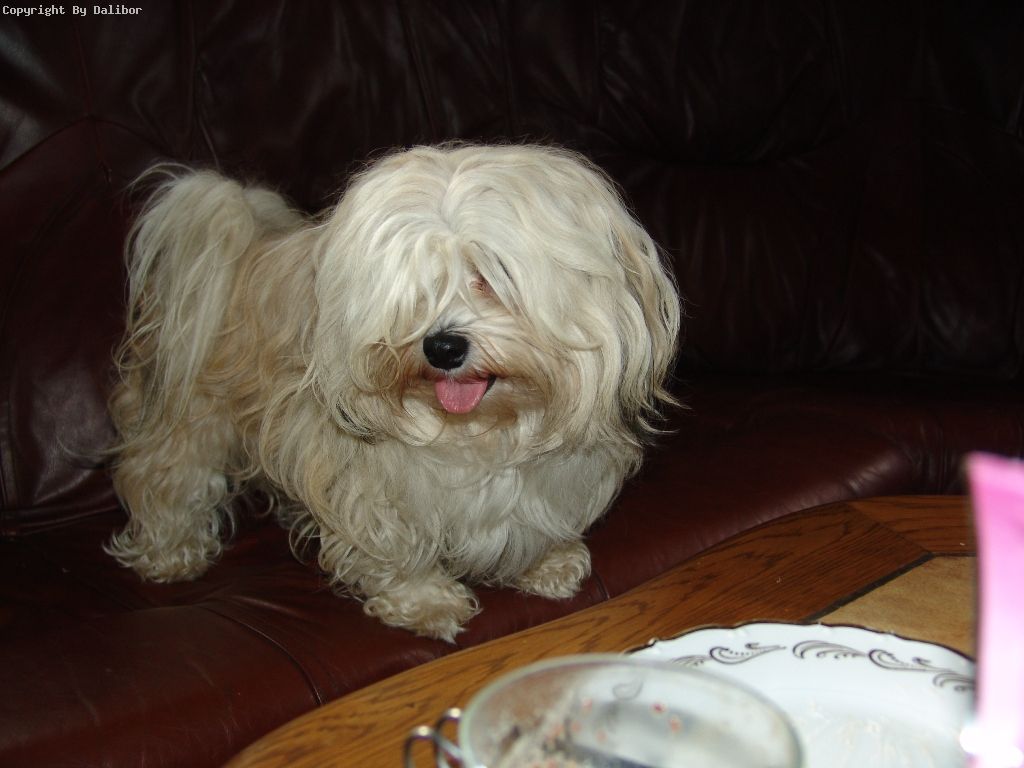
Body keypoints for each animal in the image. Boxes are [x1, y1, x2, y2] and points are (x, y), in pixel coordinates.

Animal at [106, 143, 680, 641]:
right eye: (415, 290)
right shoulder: (369, 483)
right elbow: (396, 551)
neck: (480, 432)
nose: (442, 347)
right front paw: (425, 601)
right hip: (189, 424)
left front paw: (548, 561)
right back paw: (169, 554)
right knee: (163, 480)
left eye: (492, 275)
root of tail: (241, 245)